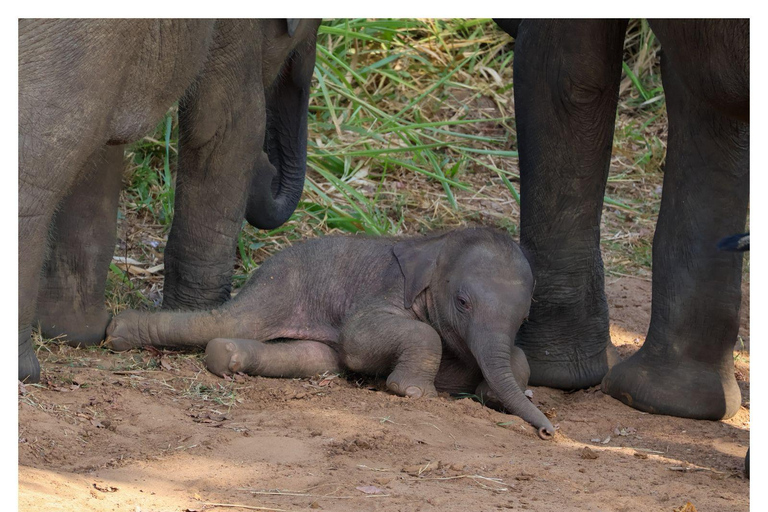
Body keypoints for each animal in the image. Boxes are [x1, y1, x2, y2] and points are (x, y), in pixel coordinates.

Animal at [19, 19, 321, 383]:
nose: (267, 168)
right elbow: (228, 124)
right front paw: (197, 315)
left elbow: (104, 145)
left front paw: (73, 332)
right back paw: (24, 371)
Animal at [105, 228, 557, 438]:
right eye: (463, 302)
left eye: (524, 317)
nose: (549, 431)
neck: (437, 242)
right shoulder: (385, 289)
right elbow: (359, 339)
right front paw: (413, 393)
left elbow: (508, 358)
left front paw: (499, 395)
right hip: (282, 283)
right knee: (232, 320)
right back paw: (118, 333)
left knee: (314, 357)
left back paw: (224, 357)